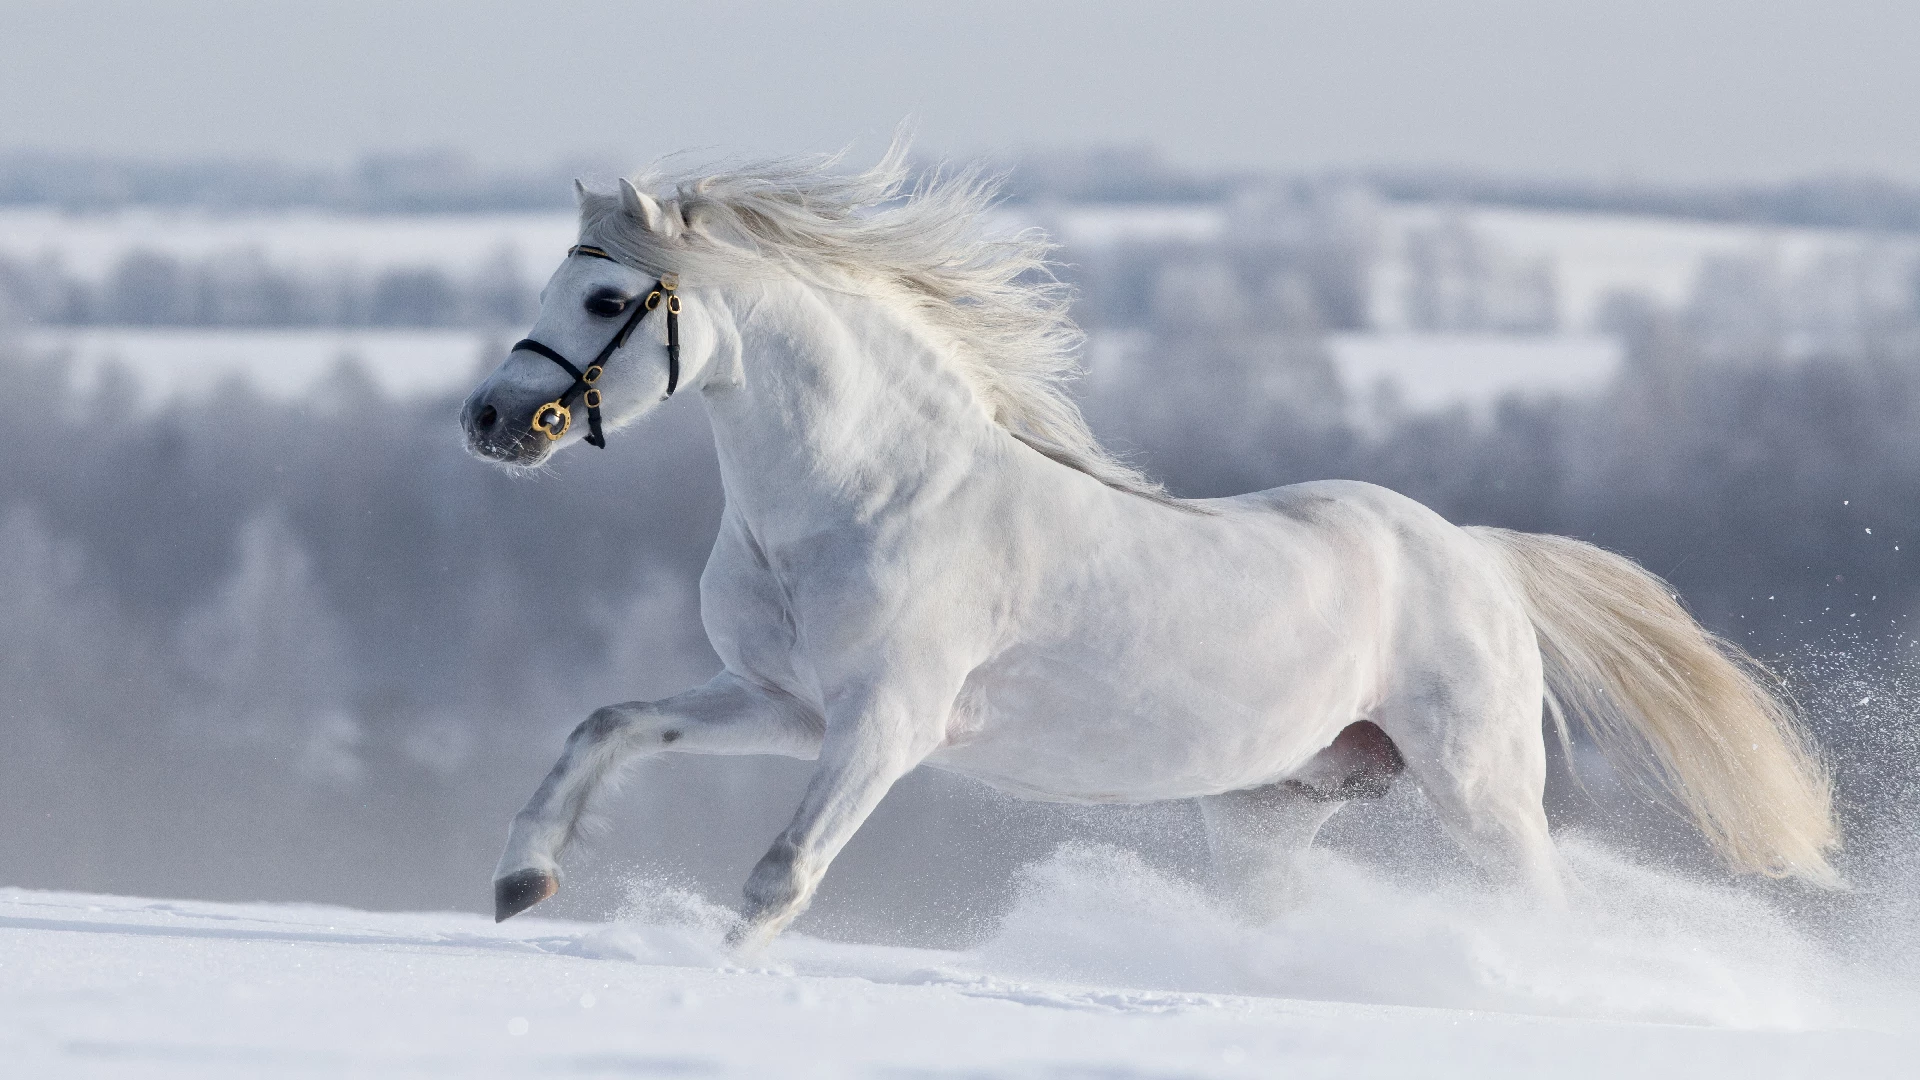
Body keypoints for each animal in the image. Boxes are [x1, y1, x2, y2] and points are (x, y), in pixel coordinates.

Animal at [456, 148, 1835, 941]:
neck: (866, 499)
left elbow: (780, 878)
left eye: (602, 296)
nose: (490, 421)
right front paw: (522, 886)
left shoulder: (888, 723)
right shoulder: (785, 704)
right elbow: (606, 725)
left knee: (1541, 912)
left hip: (1484, 791)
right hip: (1273, 809)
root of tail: (1477, 557)